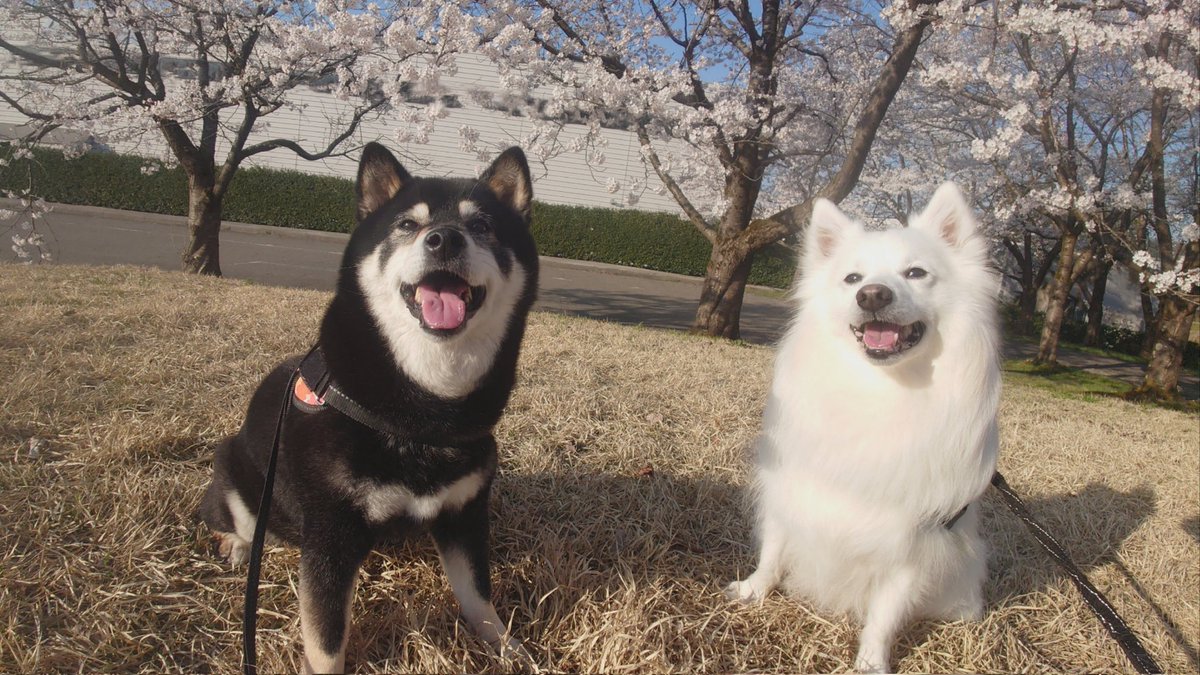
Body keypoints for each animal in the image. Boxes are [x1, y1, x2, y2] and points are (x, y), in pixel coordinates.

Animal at [200, 141, 540, 667]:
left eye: (483, 225)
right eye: (407, 224)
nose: (444, 239)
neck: (425, 409)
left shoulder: (465, 513)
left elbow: (478, 596)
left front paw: (507, 648)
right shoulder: (330, 536)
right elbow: (325, 638)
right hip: (236, 472)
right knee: (228, 516)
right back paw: (235, 544)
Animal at [724, 181, 998, 667]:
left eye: (916, 273)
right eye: (852, 279)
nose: (872, 294)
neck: (879, 389)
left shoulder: (911, 543)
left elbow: (886, 615)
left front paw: (872, 661)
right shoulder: (792, 490)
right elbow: (773, 550)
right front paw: (753, 590)